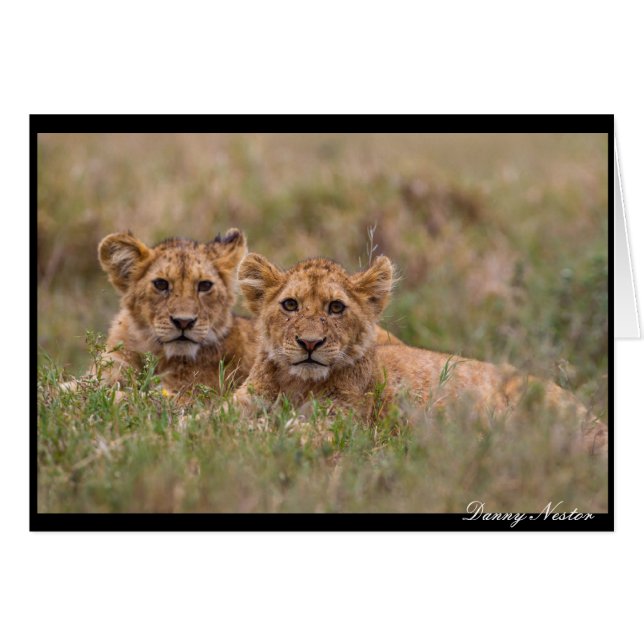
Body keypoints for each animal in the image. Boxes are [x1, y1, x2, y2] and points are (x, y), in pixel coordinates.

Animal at [234, 253, 608, 456]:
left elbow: (290, 432)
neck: (297, 385)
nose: (310, 343)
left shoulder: (340, 424)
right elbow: (225, 423)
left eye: (336, 307)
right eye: (290, 305)